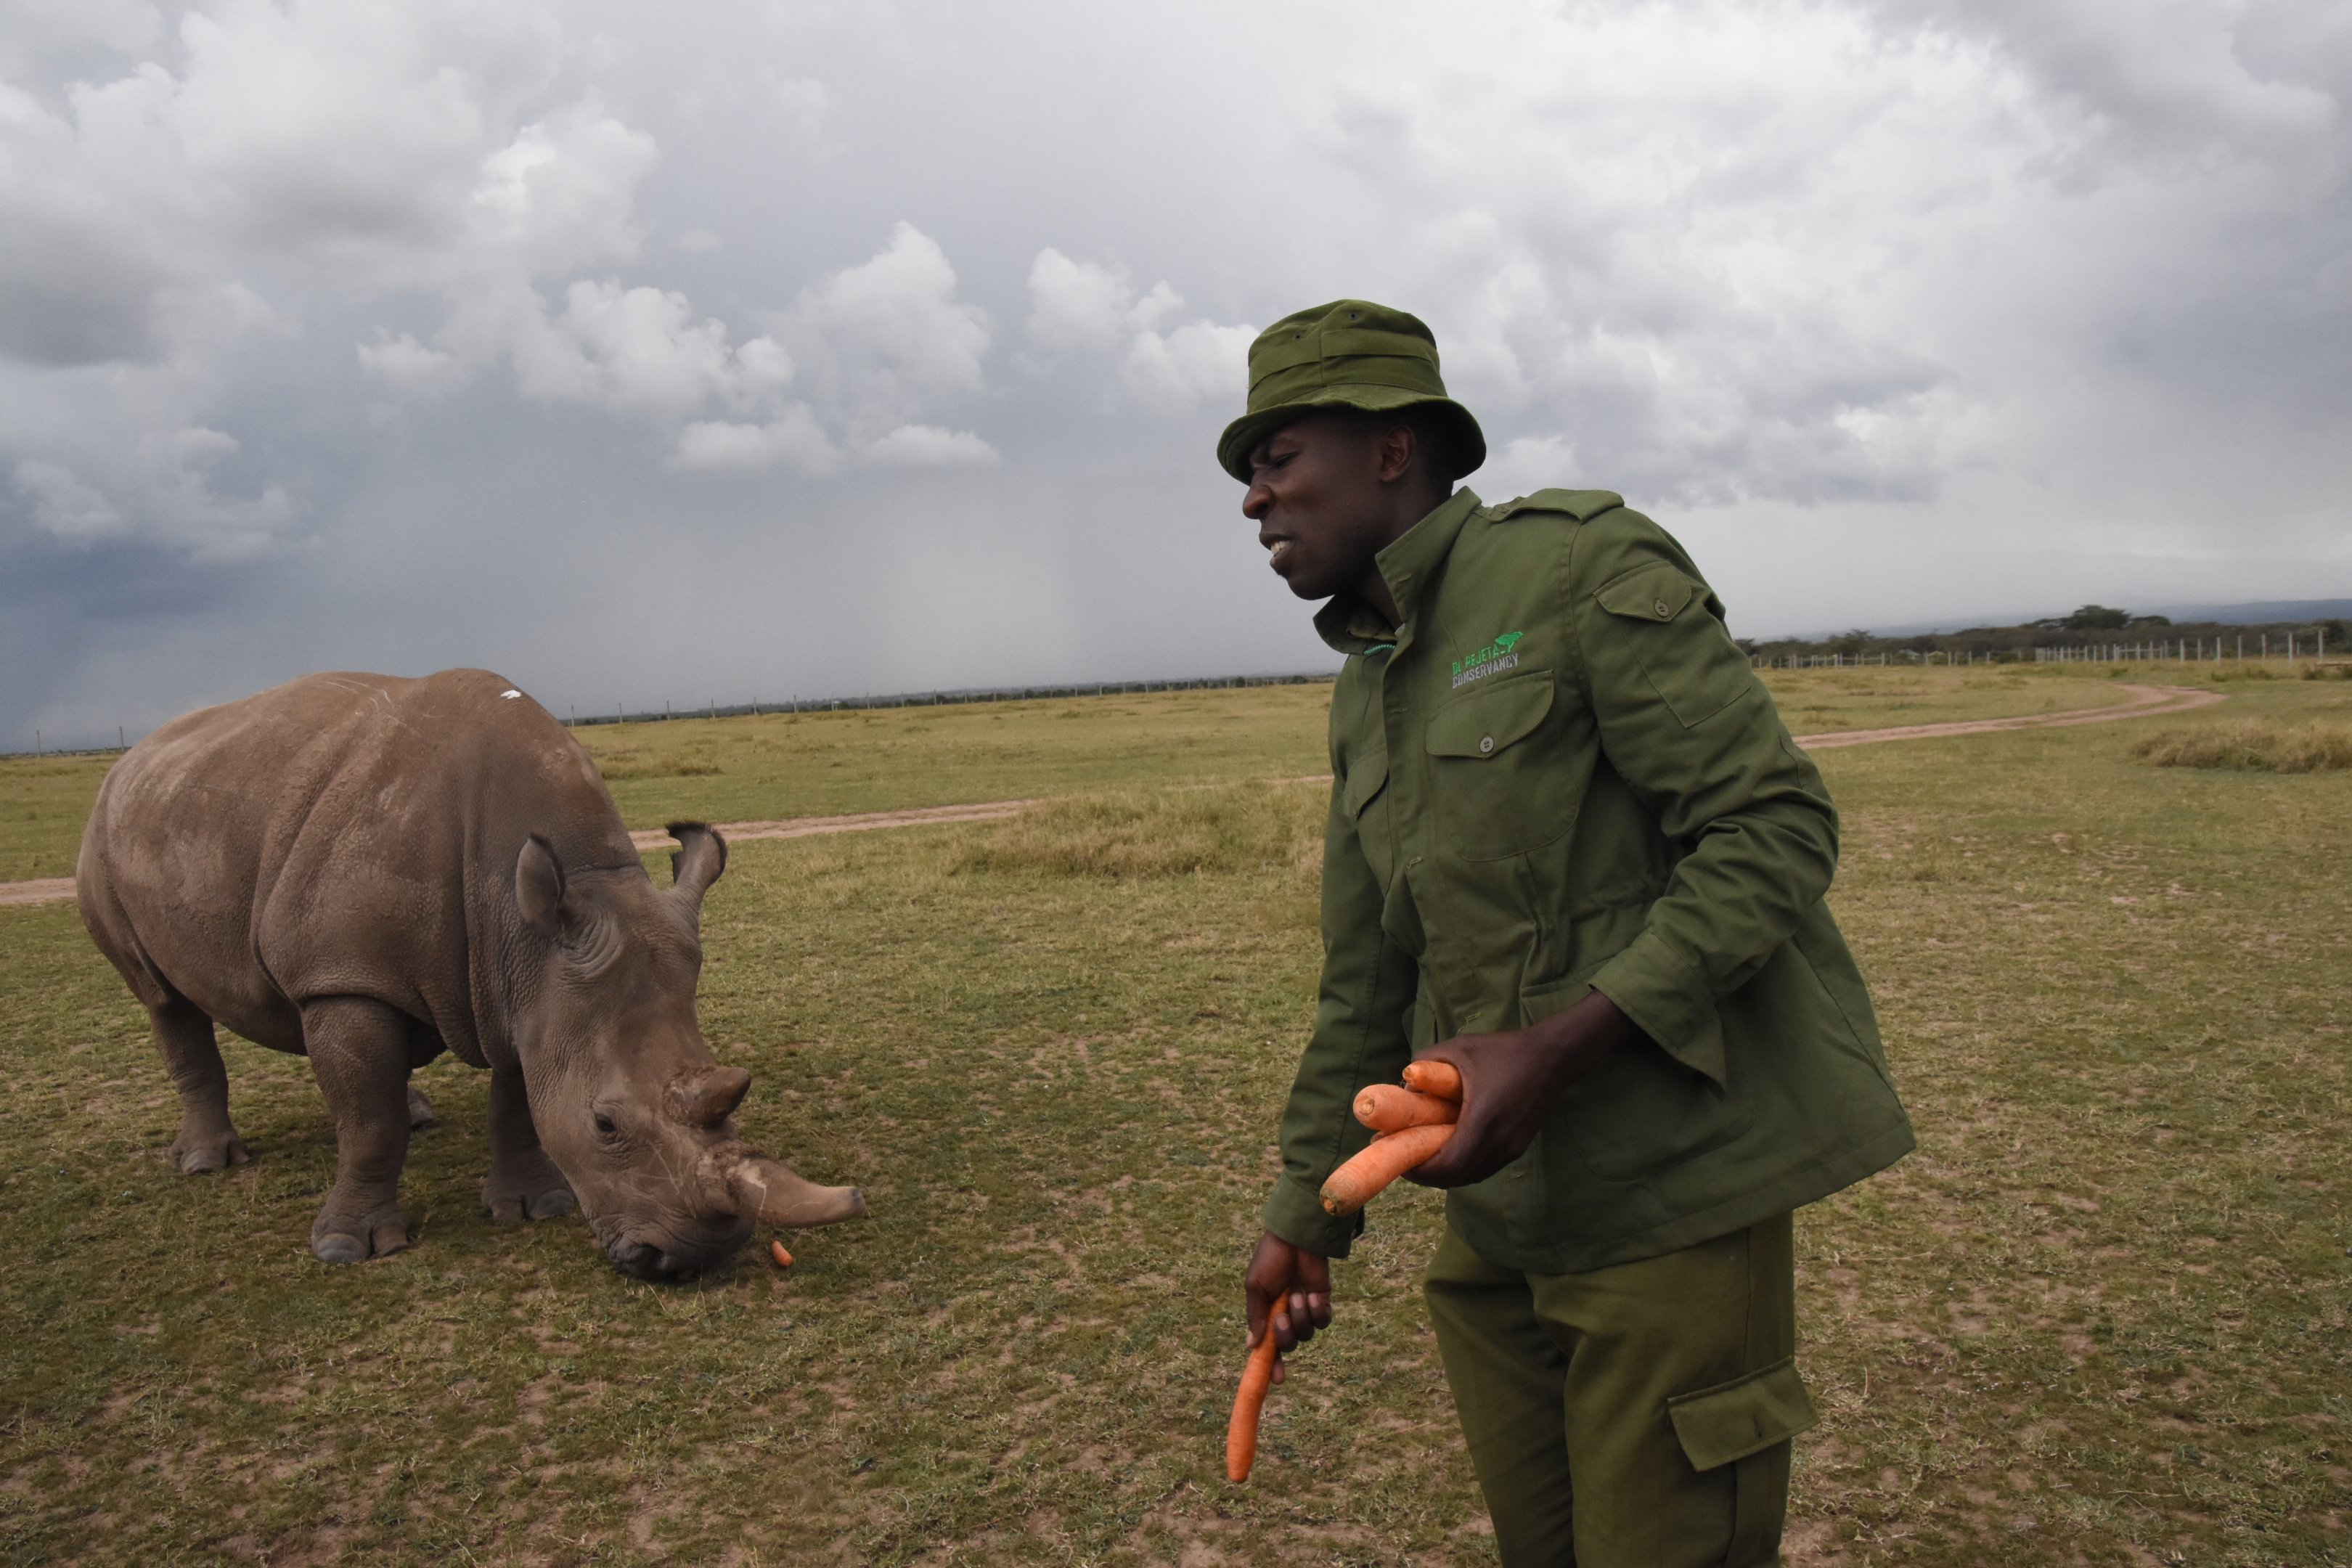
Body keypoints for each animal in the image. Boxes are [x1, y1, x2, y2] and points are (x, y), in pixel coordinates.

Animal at [76, 668, 864, 1276]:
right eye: (606, 1125)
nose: (693, 1258)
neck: (522, 913)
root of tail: (131, 757)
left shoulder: (528, 984)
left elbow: (517, 1104)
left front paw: (531, 1209)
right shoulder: (353, 975)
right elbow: (369, 1125)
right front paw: (351, 1250)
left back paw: (417, 1115)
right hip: (106, 837)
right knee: (164, 1000)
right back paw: (208, 1164)